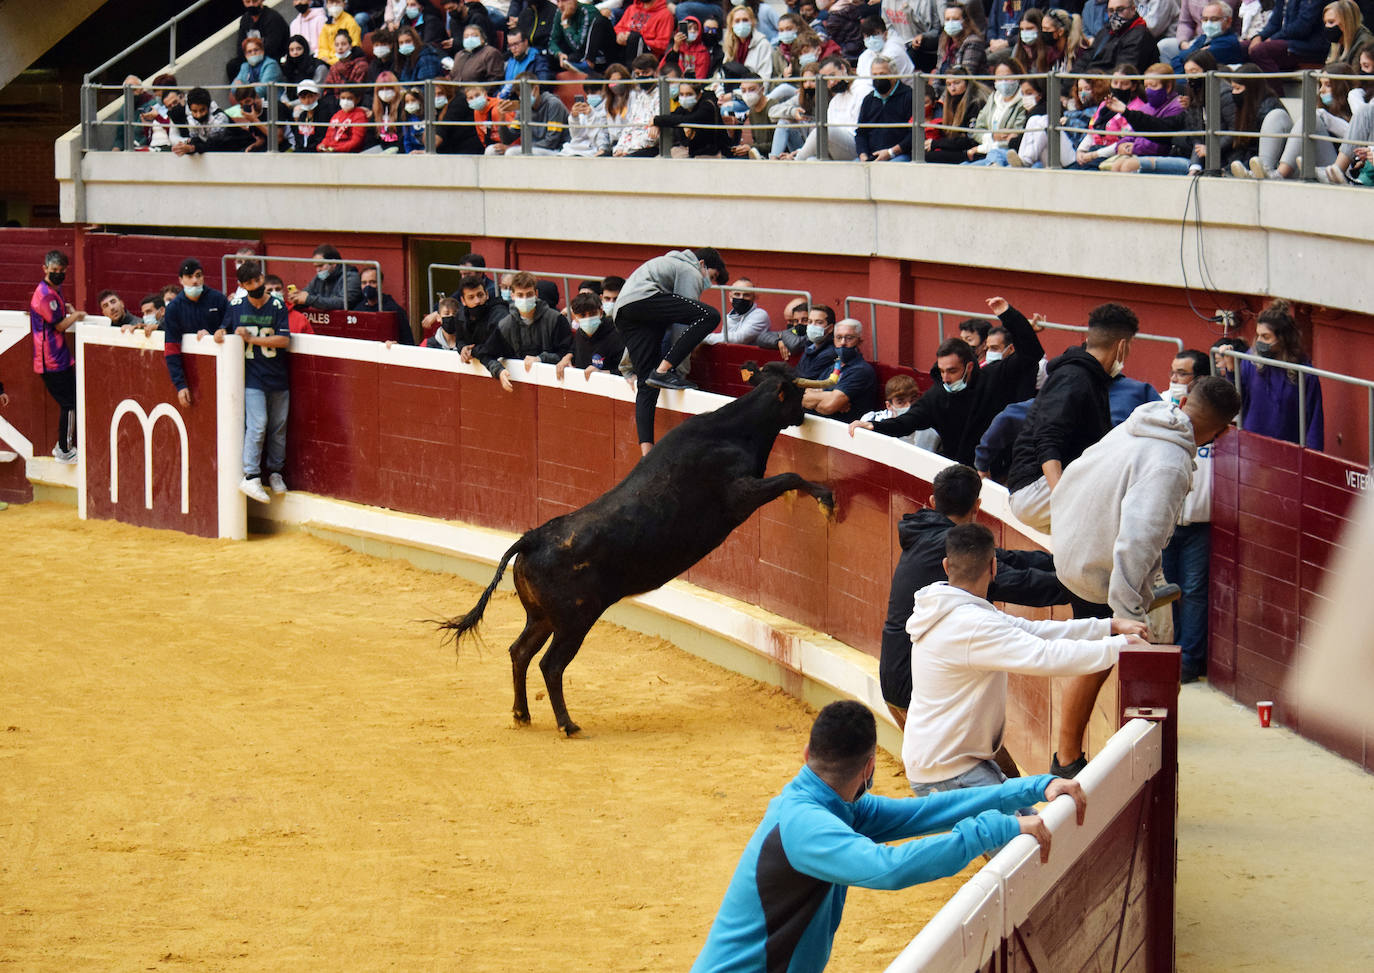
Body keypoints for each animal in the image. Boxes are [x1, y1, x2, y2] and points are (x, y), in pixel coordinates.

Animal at [436, 360, 835, 731]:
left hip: (542, 617)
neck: (733, 431)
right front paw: (826, 500)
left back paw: (522, 714)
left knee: (519, 652)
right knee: (551, 664)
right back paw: (567, 724)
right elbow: (790, 477)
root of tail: (531, 538)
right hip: (576, 619)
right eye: (797, 393)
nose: (805, 414)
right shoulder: (741, 494)